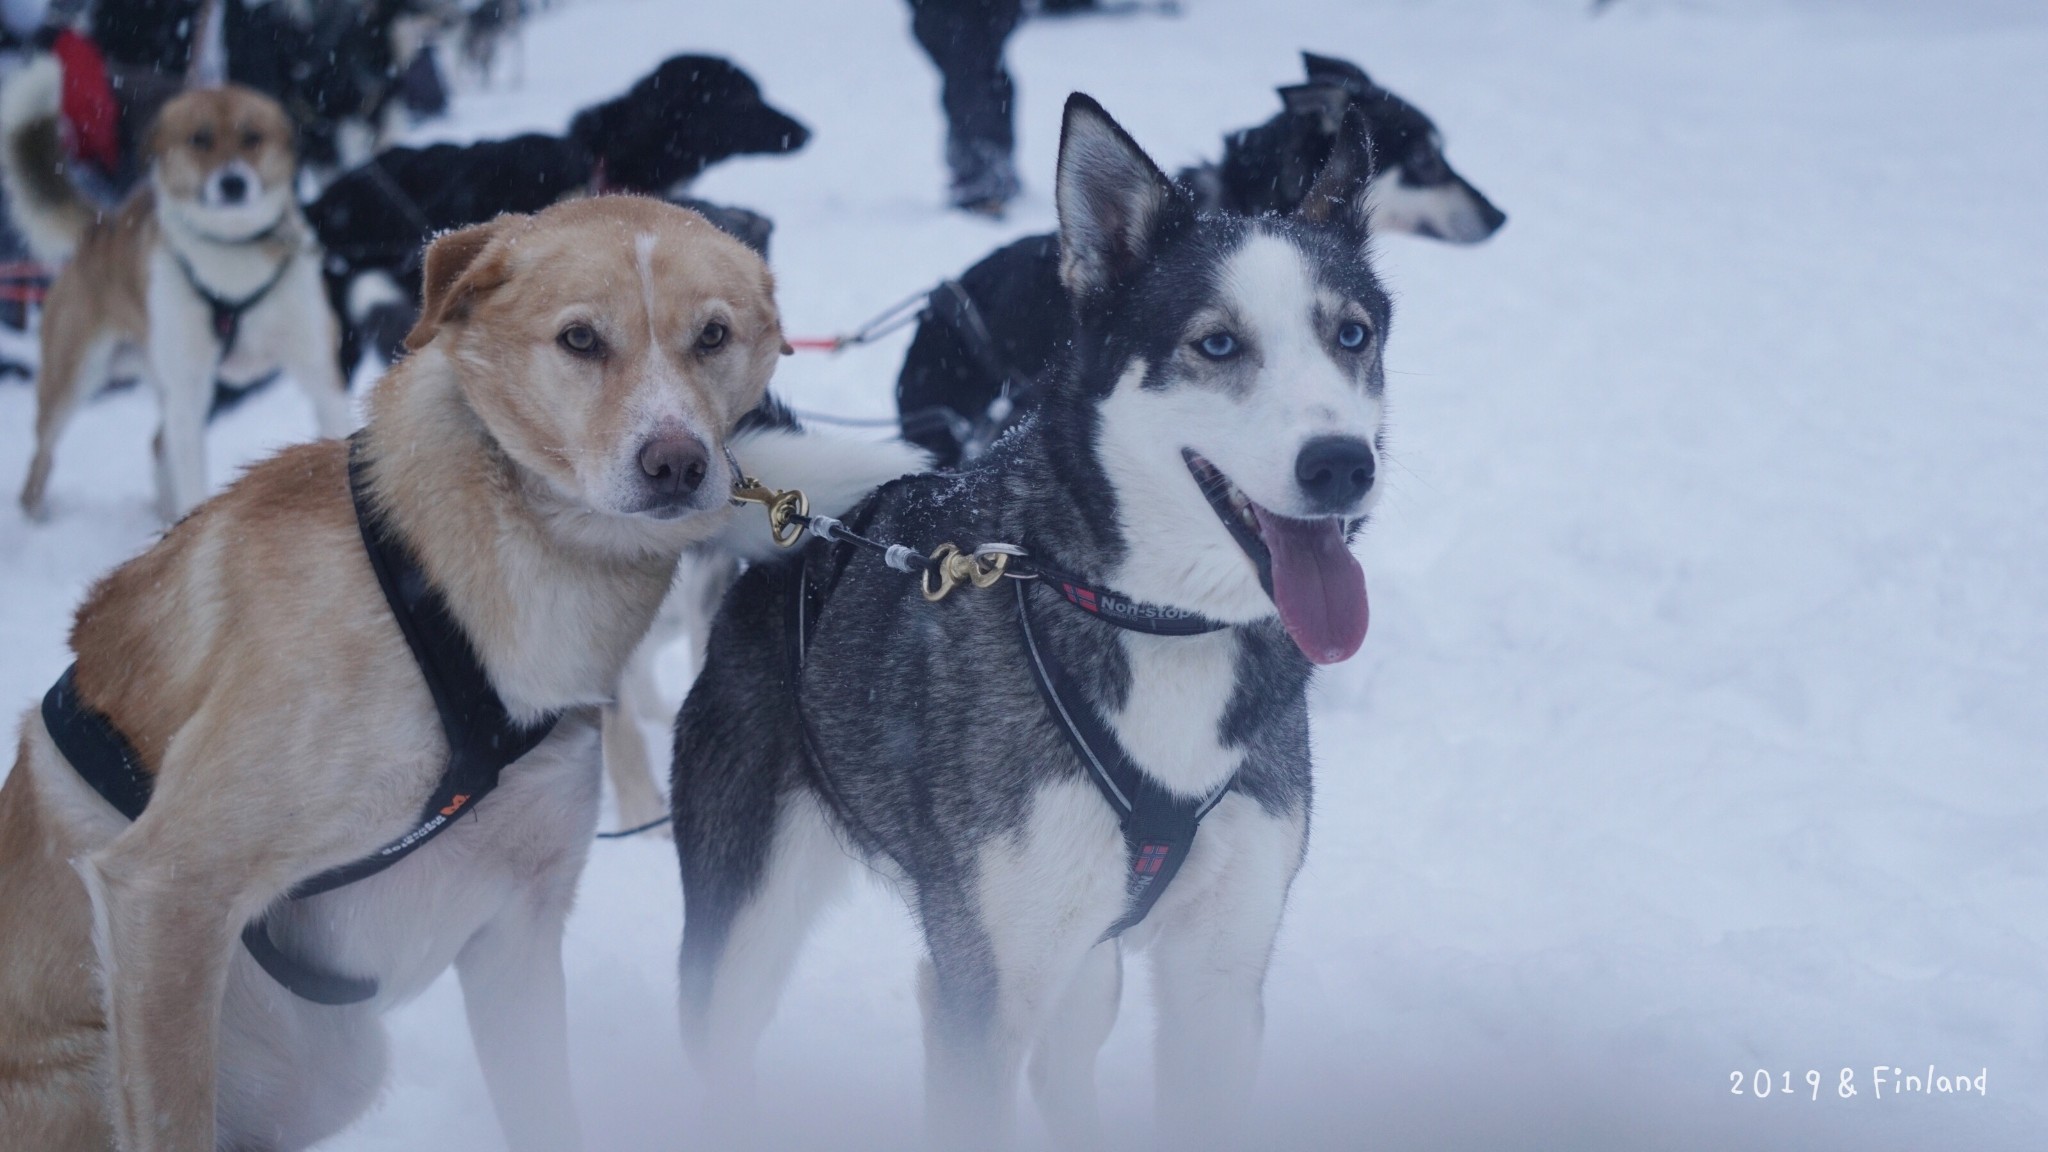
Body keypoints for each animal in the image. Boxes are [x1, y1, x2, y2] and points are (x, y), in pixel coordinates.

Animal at [0, 196, 921, 1147]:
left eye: (712, 335)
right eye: (581, 339)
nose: (676, 462)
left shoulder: (517, 931)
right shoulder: (166, 890)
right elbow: (171, 1110)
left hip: (328, 1065)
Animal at [2, 67, 352, 520]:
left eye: (252, 137)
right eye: (199, 139)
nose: (233, 183)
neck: (230, 253)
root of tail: (101, 227)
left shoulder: (318, 371)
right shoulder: (189, 388)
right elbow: (192, 478)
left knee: (156, 444)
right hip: (72, 379)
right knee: (42, 459)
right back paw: (36, 515)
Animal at [679, 94, 1384, 1139]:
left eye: (1352, 335)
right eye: (1217, 344)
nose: (1342, 462)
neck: (1156, 621)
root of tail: (810, 525)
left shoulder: (1219, 981)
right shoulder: (981, 994)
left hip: (1087, 967)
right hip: (742, 933)